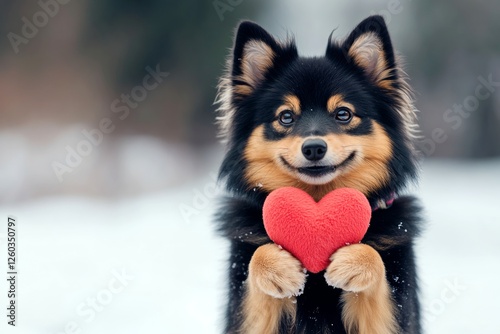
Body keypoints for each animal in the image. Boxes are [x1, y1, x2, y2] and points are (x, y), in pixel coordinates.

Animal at [214, 15, 422, 334]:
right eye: (286, 116)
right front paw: (278, 268)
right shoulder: (245, 316)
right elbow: (257, 261)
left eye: (343, 114)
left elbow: (374, 260)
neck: (317, 199)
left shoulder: (396, 315)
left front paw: (352, 262)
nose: (313, 148)